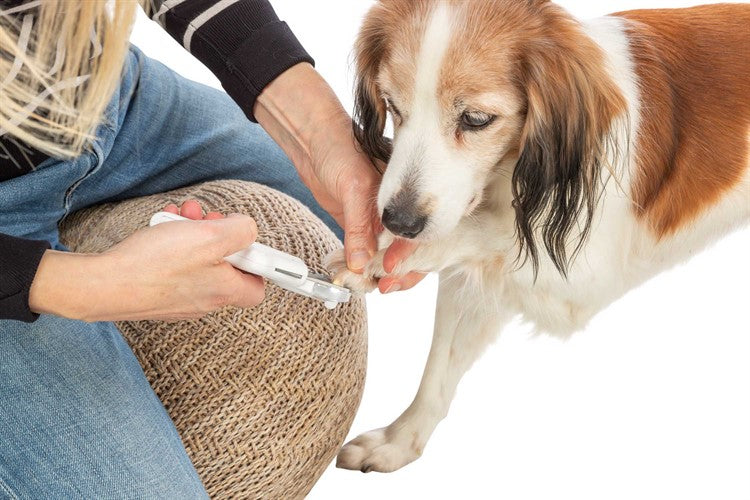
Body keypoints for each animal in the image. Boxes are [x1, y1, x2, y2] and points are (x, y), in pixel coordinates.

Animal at [324, 0, 750, 472]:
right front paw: (400, 440)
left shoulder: (582, 277)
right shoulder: (478, 284)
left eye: (476, 119)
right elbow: (440, 365)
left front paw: (379, 255)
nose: (400, 220)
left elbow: (483, 232)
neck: (514, 170)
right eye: (393, 106)